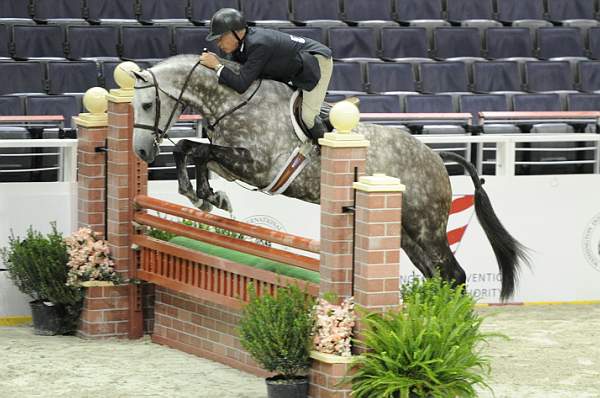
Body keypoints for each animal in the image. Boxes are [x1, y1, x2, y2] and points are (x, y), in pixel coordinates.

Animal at [130, 54, 524, 300]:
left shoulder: (258, 165)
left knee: (454, 275)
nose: (143, 153)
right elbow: (192, 150)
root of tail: (437, 157)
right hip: (405, 234)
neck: (233, 99)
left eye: (148, 105)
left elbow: (193, 149)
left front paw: (203, 195)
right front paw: (208, 197)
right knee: (436, 275)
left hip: (427, 228)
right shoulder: (230, 161)